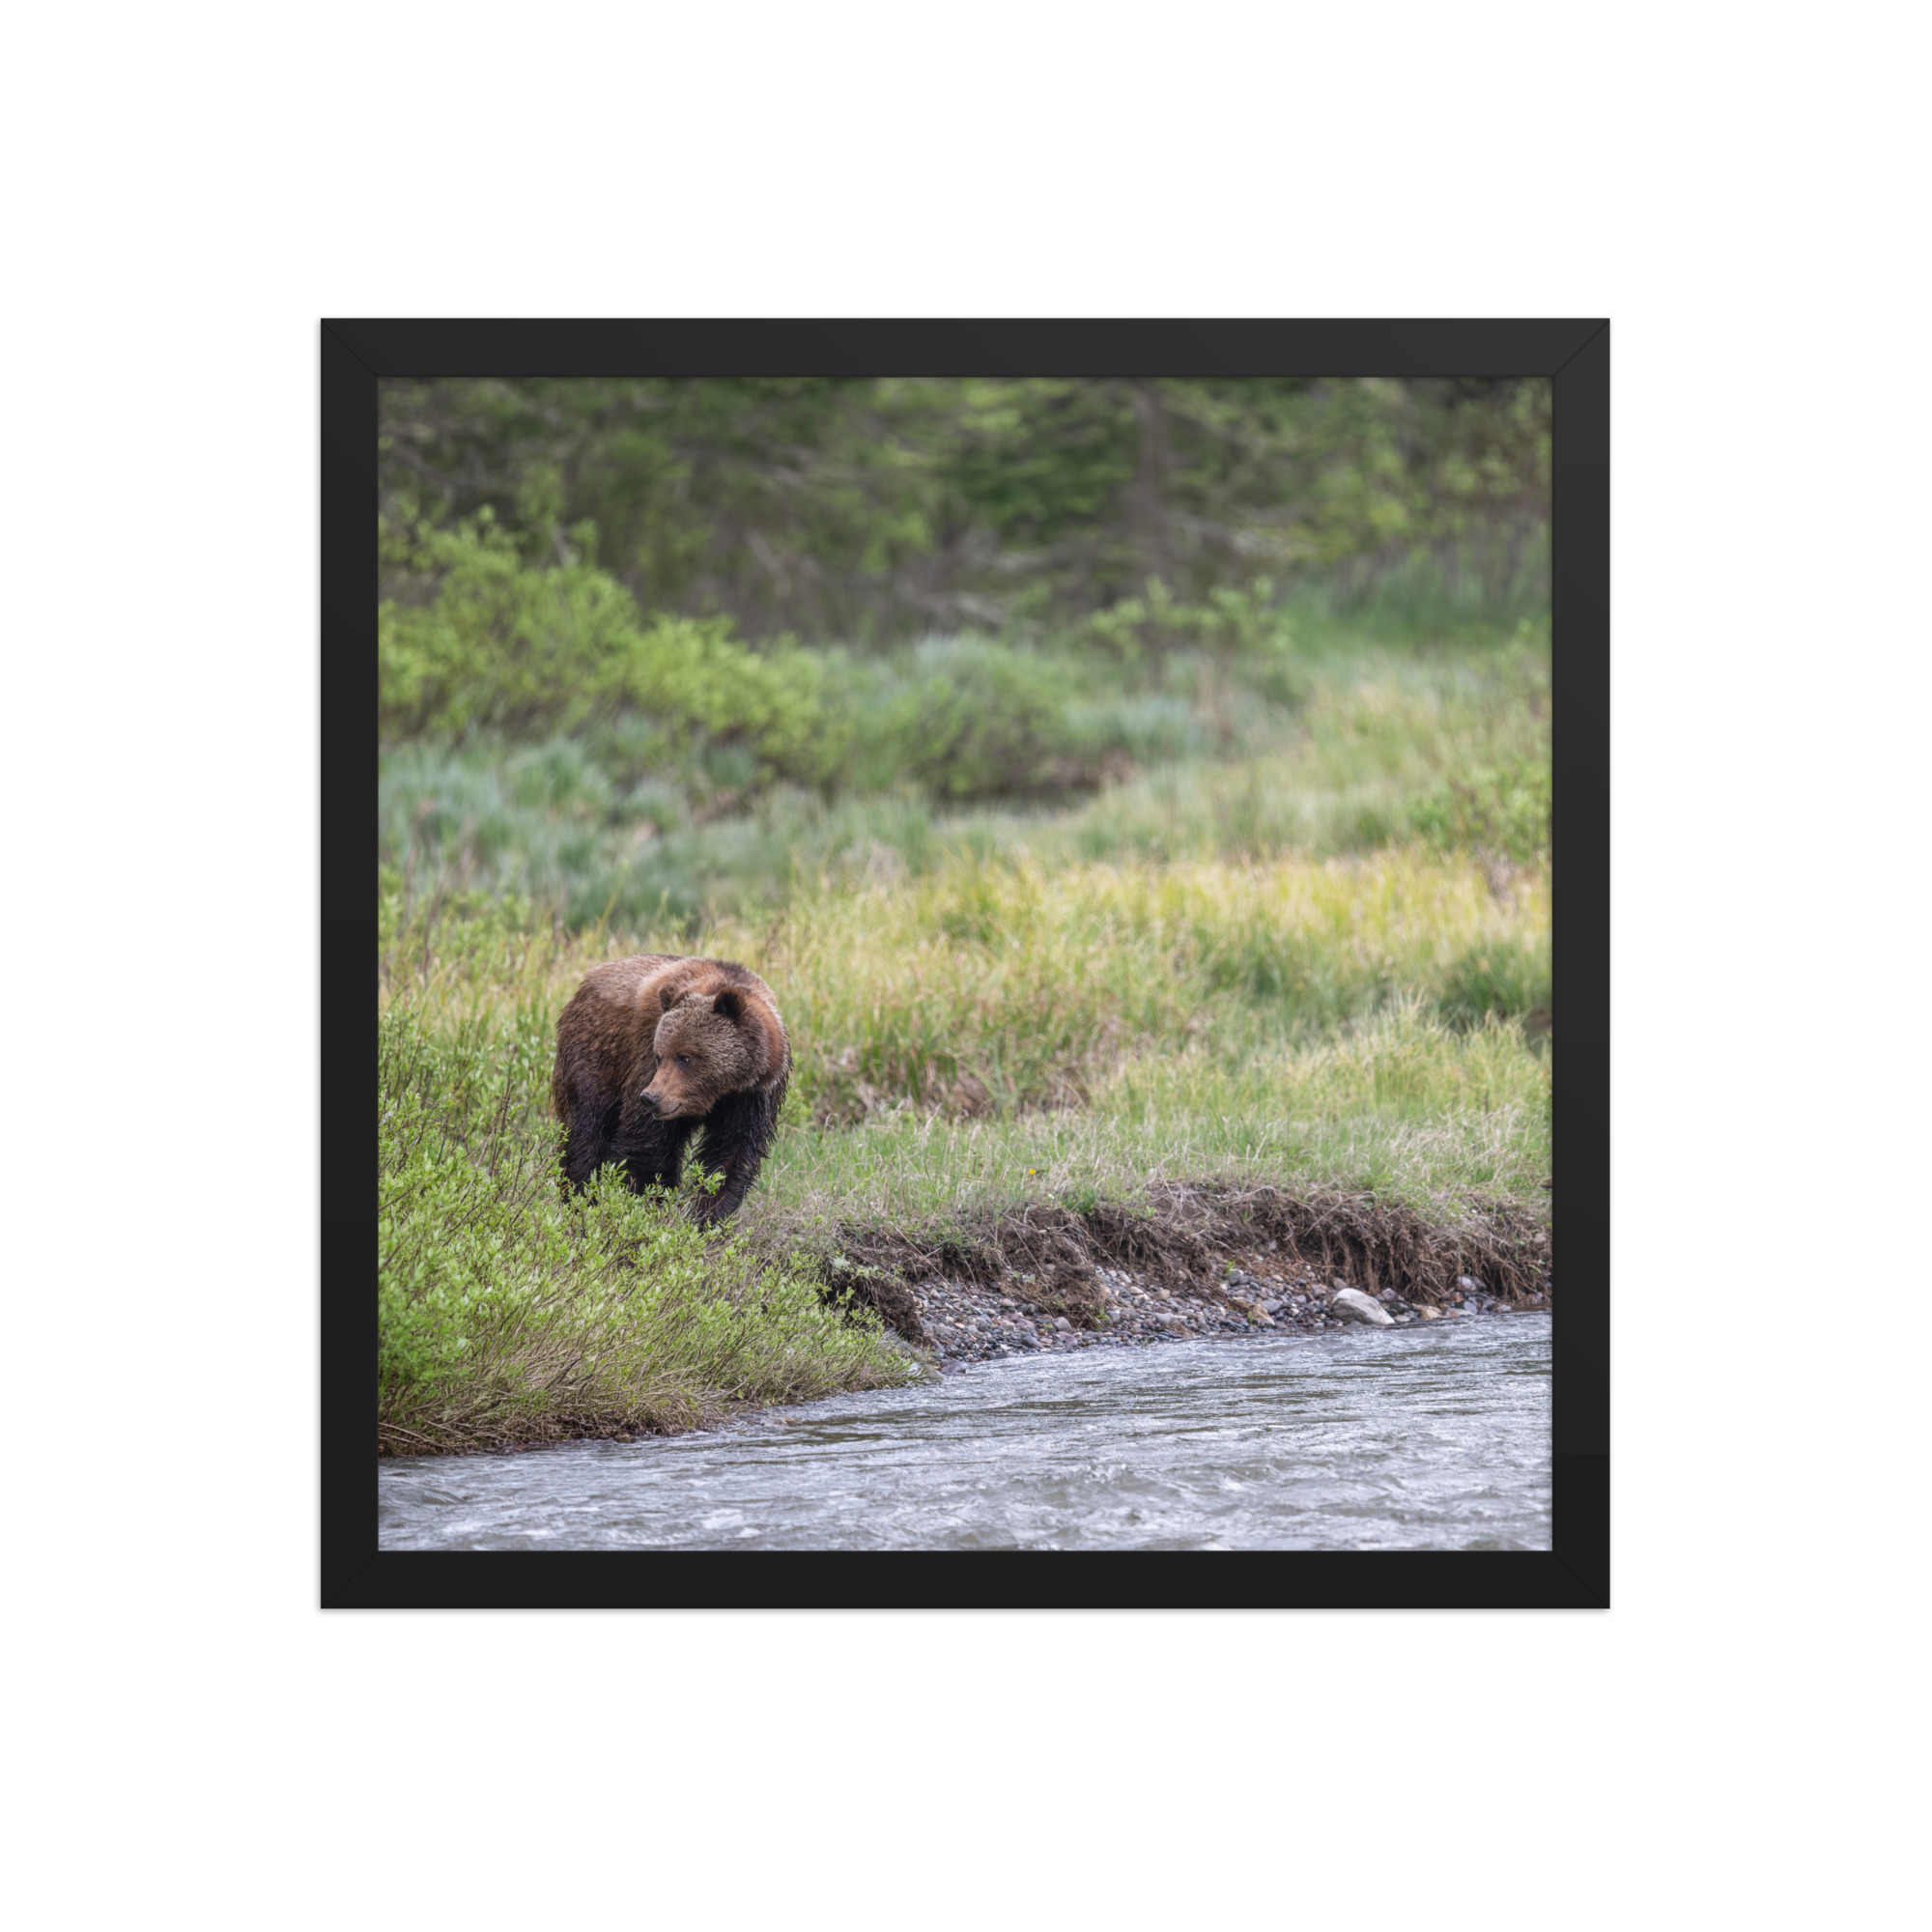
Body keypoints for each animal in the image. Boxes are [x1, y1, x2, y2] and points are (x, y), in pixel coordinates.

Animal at [550, 953, 791, 1222]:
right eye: (659, 1055)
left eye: (685, 1057)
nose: (650, 1098)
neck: (721, 1091)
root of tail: (586, 982)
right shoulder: (644, 1059)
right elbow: (648, 1145)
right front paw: (644, 1204)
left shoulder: (752, 1097)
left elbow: (731, 1155)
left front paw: (708, 1216)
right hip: (596, 1056)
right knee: (587, 1131)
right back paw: (580, 1200)